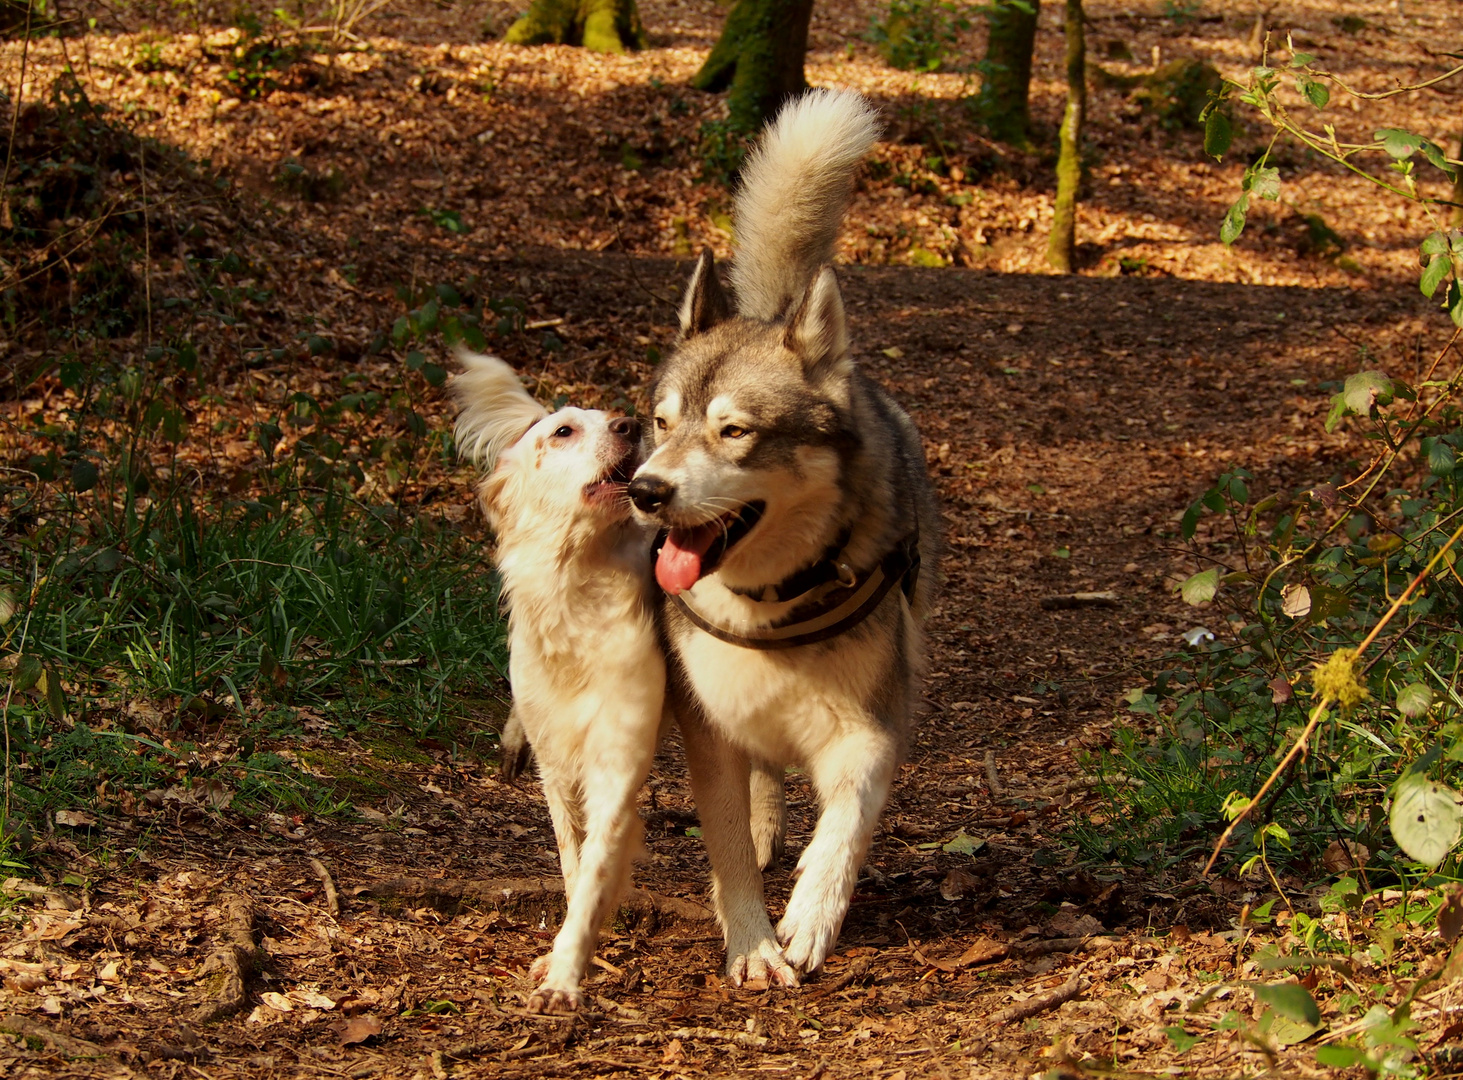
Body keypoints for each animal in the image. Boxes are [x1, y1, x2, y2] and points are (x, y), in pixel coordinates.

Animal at [447, 351, 667, 1006]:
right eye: (563, 431)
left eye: (617, 419)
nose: (630, 424)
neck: (577, 592)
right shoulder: (558, 765)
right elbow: (573, 863)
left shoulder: (615, 762)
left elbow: (594, 871)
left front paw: (567, 972)